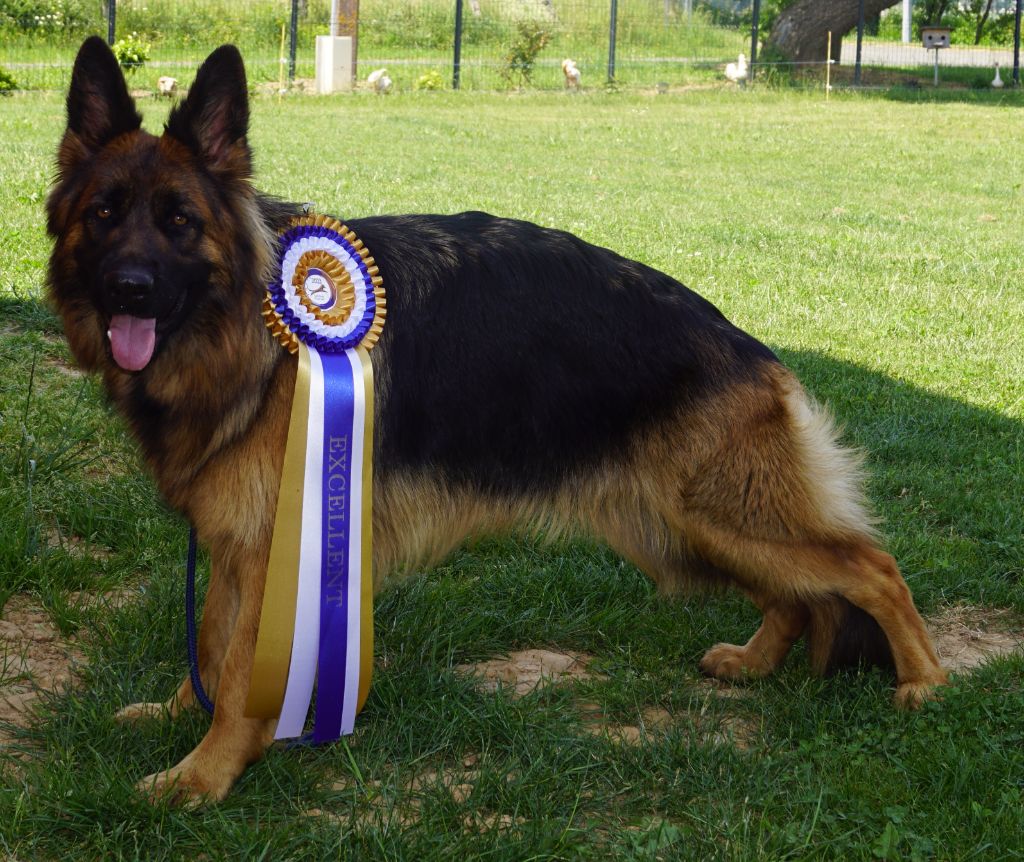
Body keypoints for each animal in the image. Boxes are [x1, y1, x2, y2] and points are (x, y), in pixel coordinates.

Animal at [46, 36, 942, 802]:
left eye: (179, 221)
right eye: (104, 214)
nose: (128, 289)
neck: (255, 329)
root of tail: (749, 347)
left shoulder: (270, 550)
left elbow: (235, 675)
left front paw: (203, 775)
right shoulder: (241, 544)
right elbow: (207, 640)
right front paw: (177, 719)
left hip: (716, 515)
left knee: (870, 567)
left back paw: (924, 682)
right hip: (685, 531)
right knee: (802, 592)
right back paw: (756, 664)